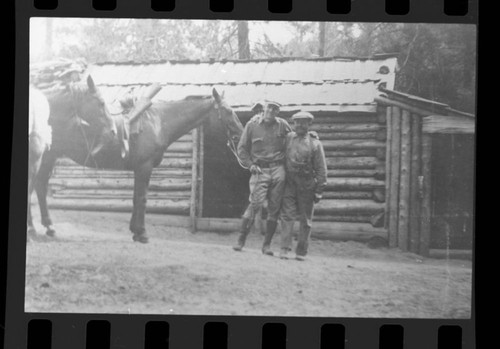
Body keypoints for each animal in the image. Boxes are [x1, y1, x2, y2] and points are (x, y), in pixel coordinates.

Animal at [33, 85, 244, 242]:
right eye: (228, 111)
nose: (240, 134)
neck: (159, 123)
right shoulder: (144, 167)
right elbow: (142, 199)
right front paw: (142, 233)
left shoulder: (139, 169)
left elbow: (136, 199)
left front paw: (135, 231)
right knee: (38, 186)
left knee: (39, 186)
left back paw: (46, 227)